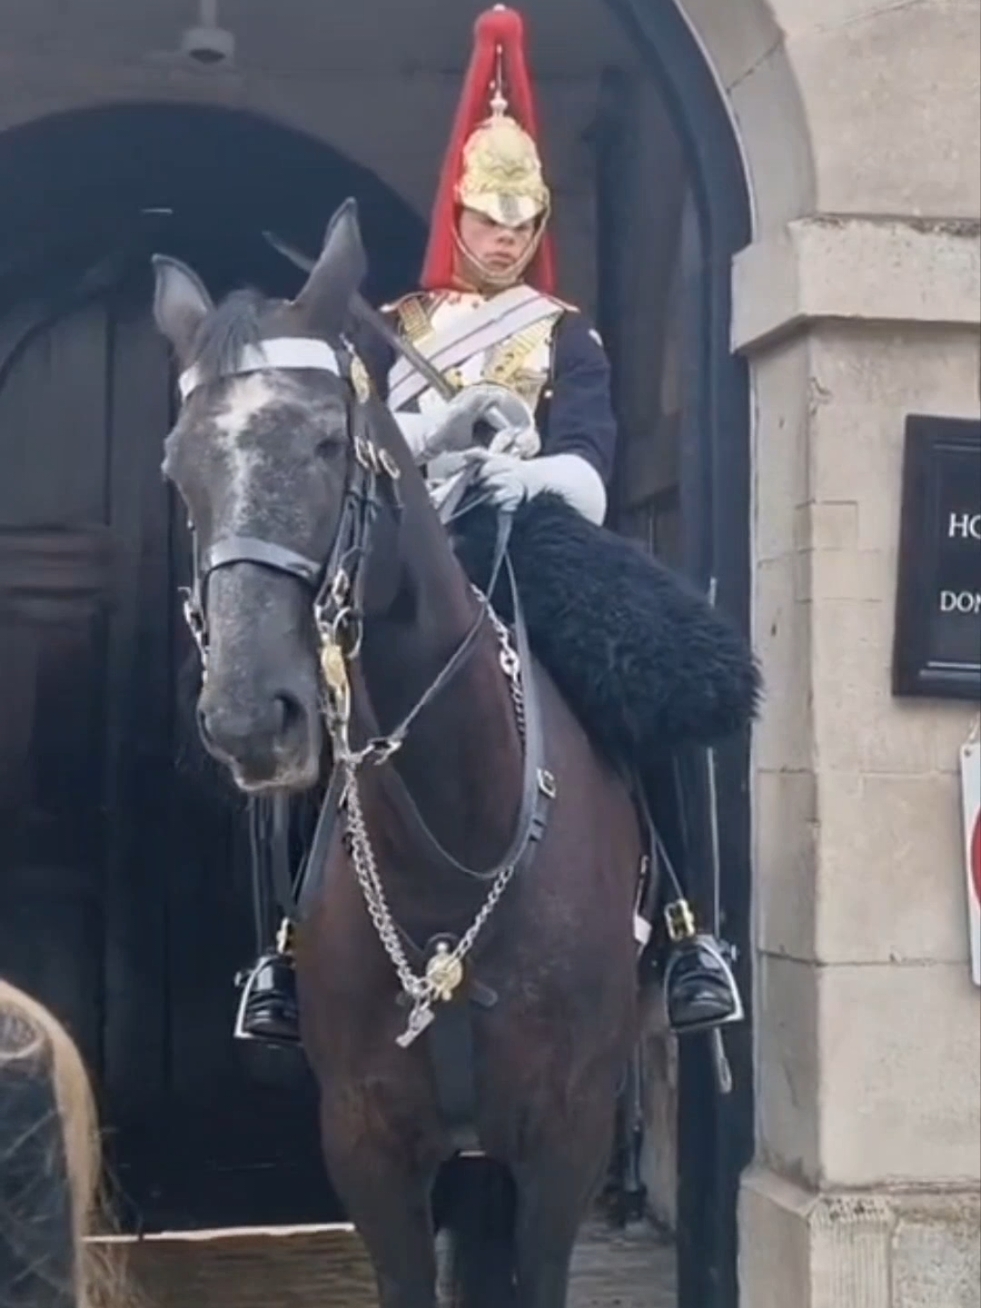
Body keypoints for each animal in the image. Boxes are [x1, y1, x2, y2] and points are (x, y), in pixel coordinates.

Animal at [153, 196, 654, 1308]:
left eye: (328, 441)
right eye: (178, 463)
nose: (249, 716)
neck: (450, 848)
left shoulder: (565, 1138)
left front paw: (496, 451)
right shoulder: (368, 1143)